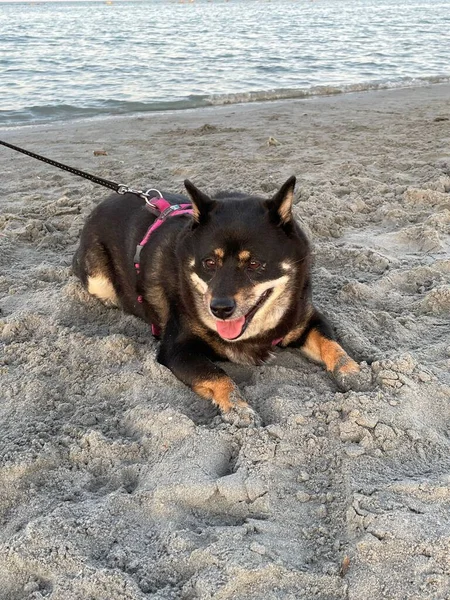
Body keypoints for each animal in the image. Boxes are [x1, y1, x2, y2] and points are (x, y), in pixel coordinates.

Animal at [74, 178, 362, 426]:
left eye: (254, 264)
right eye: (210, 263)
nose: (220, 309)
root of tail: (109, 199)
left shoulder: (307, 319)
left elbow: (331, 343)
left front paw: (352, 370)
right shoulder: (177, 349)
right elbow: (218, 375)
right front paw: (238, 407)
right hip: (99, 281)